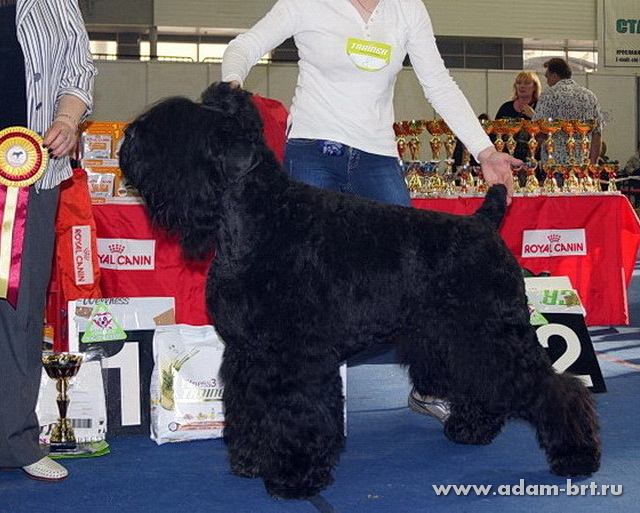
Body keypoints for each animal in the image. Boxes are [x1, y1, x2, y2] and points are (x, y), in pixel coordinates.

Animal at [119, 82, 600, 499]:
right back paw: (473, 428)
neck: (260, 217)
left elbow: (297, 414)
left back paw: (576, 455)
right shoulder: (249, 352)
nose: (129, 141)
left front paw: (294, 476)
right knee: (484, 380)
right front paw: (251, 459)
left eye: (184, 131)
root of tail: (484, 221)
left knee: (554, 386)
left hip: (490, 333)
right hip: (456, 336)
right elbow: (251, 406)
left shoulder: (295, 357)